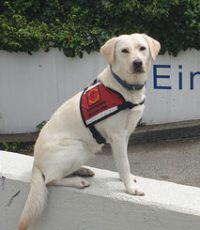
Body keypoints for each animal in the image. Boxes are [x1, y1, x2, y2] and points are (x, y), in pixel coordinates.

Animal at [18, 32, 159, 230]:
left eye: (142, 48)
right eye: (124, 51)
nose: (137, 63)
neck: (125, 88)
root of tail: (35, 163)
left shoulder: (125, 135)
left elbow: (122, 163)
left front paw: (127, 179)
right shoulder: (117, 137)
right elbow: (124, 163)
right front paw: (130, 188)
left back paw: (82, 170)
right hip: (78, 148)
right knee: (50, 180)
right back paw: (77, 181)